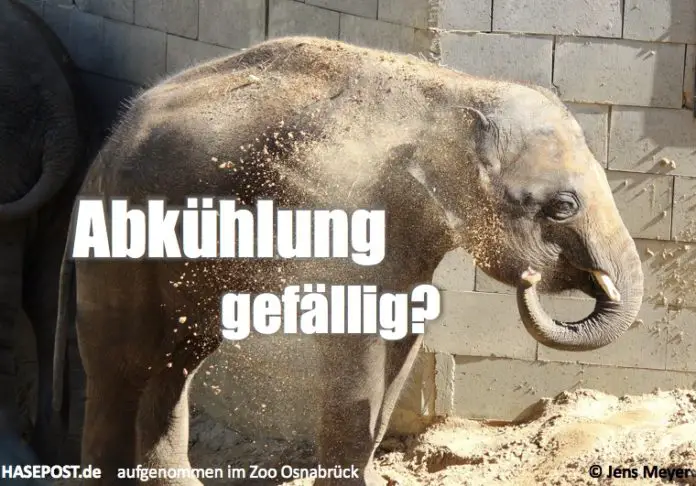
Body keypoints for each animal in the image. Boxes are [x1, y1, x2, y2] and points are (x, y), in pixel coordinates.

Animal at [52, 36, 643, 485]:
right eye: (562, 207)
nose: (534, 277)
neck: (456, 92)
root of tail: (105, 147)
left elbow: (402, 335)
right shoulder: (351, 204)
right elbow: (354, 339)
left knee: (177, 359)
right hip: (121, 241)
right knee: (124, 364)